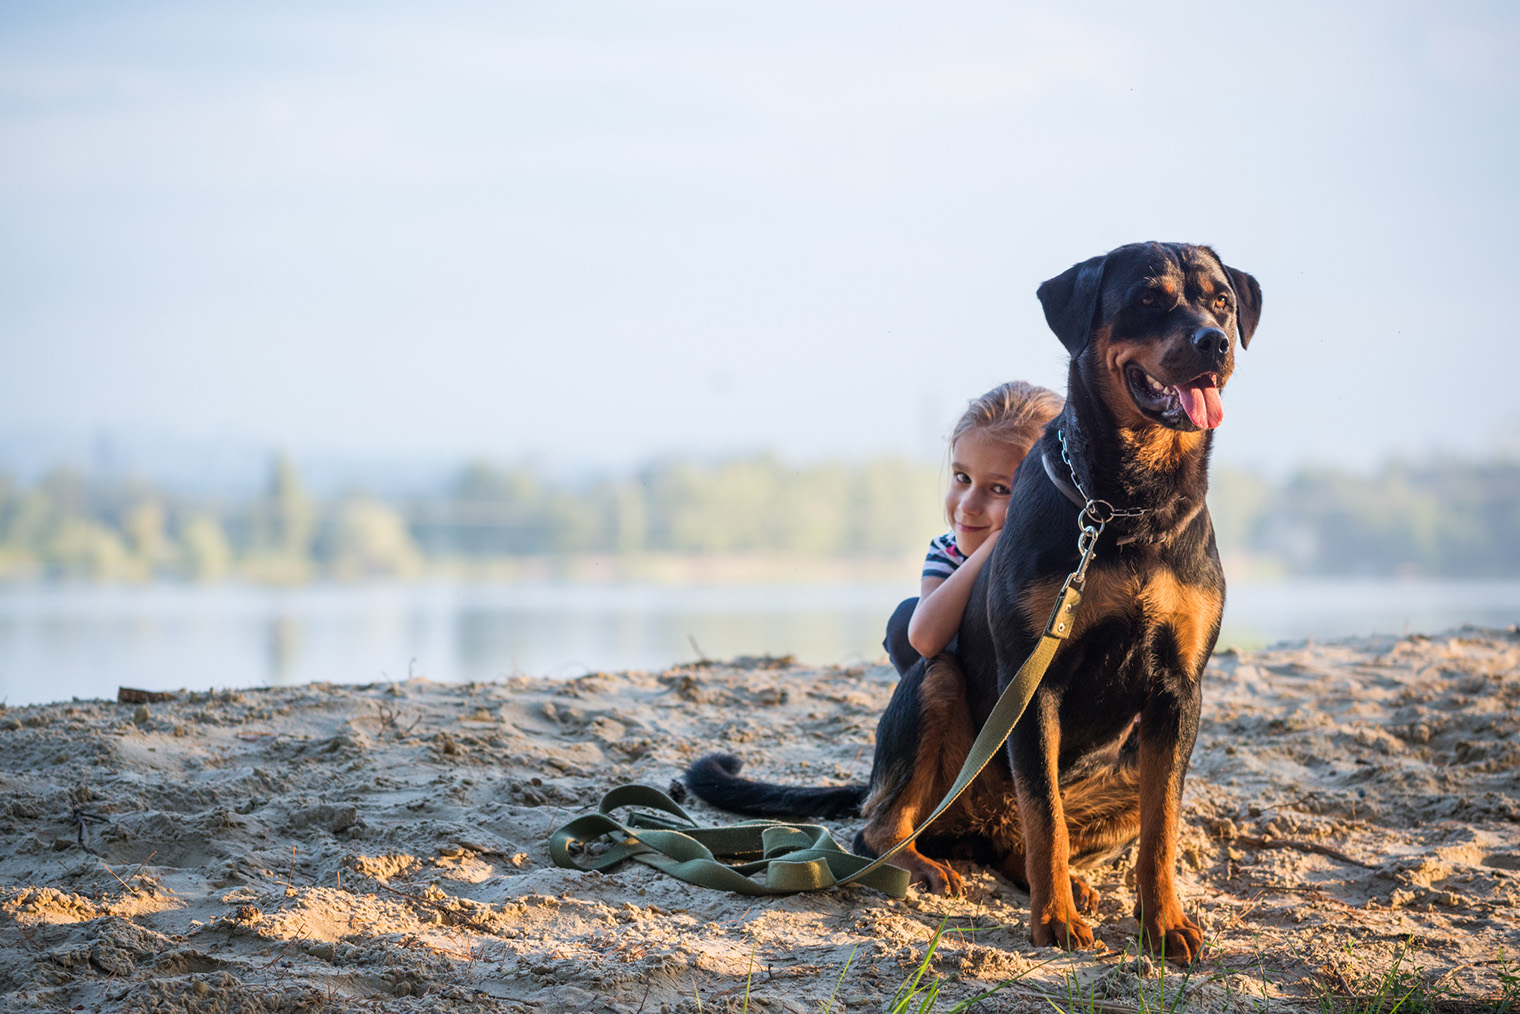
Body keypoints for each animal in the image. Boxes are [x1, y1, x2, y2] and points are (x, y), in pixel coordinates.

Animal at [687, 241, 1258, 966]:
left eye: (1222, 302)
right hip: (935, 691)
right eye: (1148, 300)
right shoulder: (1033, 679)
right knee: (885, 828)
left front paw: (1164, 925)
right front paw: (1055, 921)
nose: (1214, 342)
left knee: (1040, 835)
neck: (1126, 505)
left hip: (1126, 770)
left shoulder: (1179, 693)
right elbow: (1045, 814)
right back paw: (923, 864)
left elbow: (1160, 832)